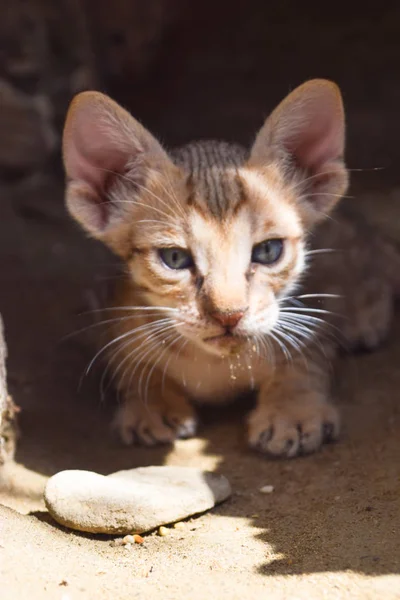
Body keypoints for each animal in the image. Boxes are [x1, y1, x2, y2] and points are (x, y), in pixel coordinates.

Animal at [61, 81, 398, 460]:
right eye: (174, 258)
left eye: (268, 251)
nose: (229, 315)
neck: (217, 366)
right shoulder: (112, 309)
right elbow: (128, 362)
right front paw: (150, 403)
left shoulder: (309, 316)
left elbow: (305, 360)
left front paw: (292, 411)